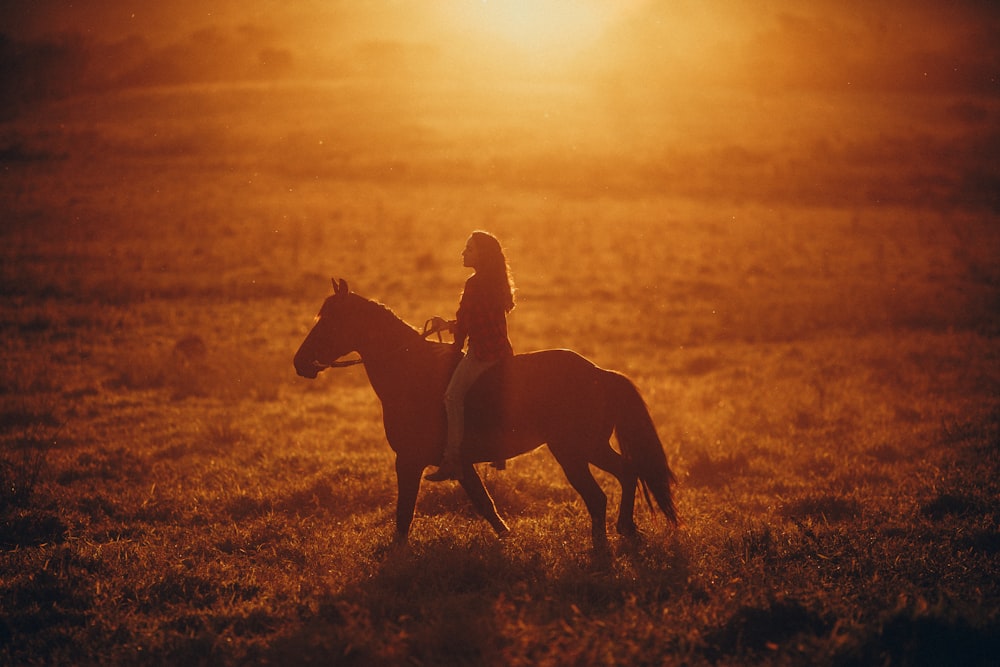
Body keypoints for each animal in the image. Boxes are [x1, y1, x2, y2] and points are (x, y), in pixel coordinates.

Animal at [292, 280, 680, 552]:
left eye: (329, 321)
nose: (300, 362)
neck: (411, 371)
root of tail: (600, 373)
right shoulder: (460, 465)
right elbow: (485, 504)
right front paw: (508, 538)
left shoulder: (409, 461)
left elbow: (405, 511)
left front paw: (395, 552)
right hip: (589, 448)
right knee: (627, 473)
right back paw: (626, 529)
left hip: (575, 451)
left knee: (600, 494)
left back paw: (601, 545)